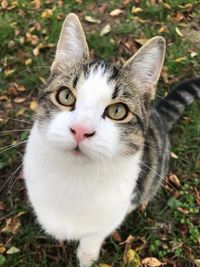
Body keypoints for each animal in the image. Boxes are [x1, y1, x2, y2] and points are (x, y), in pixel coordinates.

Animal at [23, 12, 200, 267]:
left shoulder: (117, 207)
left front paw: (87, 254)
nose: (80, 130)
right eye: (65, 96)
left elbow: (95, 234)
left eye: (118, 111)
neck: (75, 177)